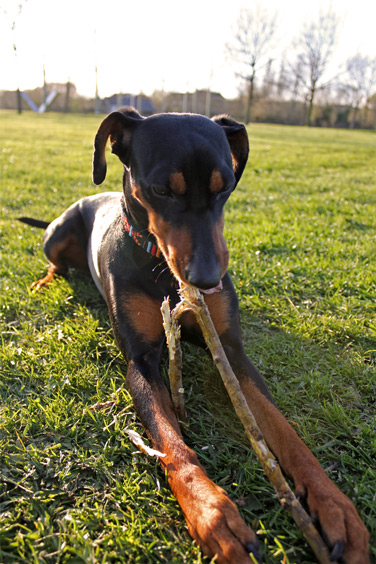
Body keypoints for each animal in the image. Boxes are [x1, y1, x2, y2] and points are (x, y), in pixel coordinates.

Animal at [19, 108, 368, 560]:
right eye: (160, 190)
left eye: (227, 187)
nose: (207, 280)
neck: (162, 271)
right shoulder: (142, 362)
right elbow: (172, 444)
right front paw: (212, 513)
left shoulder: (232, 352)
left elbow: (286, 432)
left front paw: (333, 504)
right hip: (58, 236)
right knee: (55, 264)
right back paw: (44, 283)